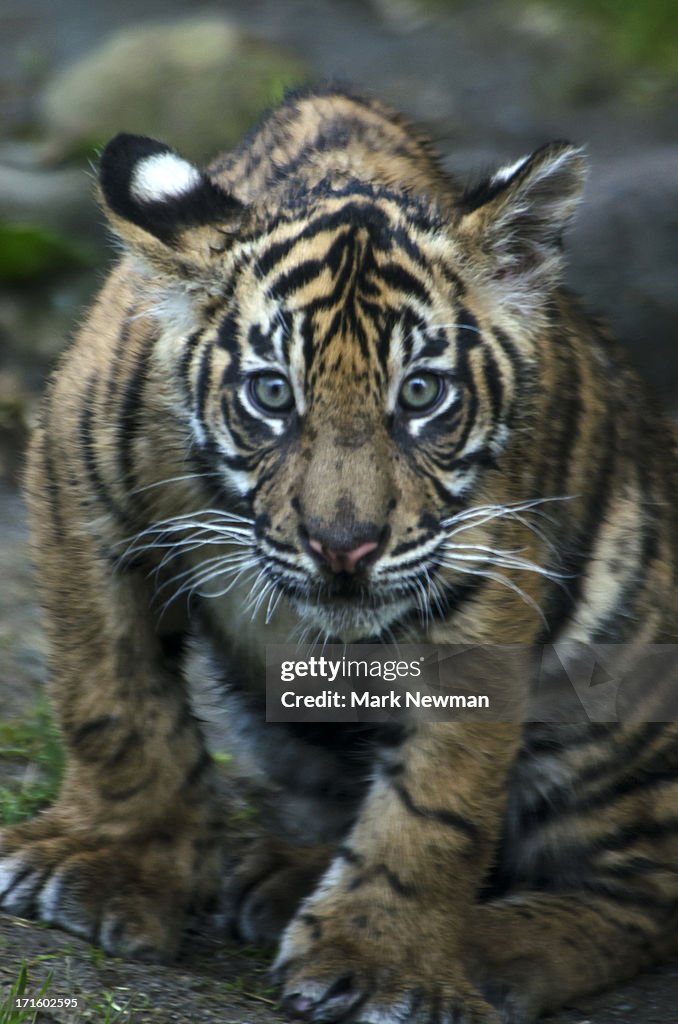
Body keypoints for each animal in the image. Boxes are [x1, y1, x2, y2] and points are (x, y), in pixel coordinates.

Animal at [2, 85, 678, 1024]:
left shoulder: (488, 581)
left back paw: (490, 948)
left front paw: (383, 963)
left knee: (643, 891)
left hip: (614, 687)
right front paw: (111, 866)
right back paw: (281, 875)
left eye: (421, 394)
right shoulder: (79, 494)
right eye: (272, 394)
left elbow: (440, 801)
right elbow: (115, 703)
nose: (343, 547)